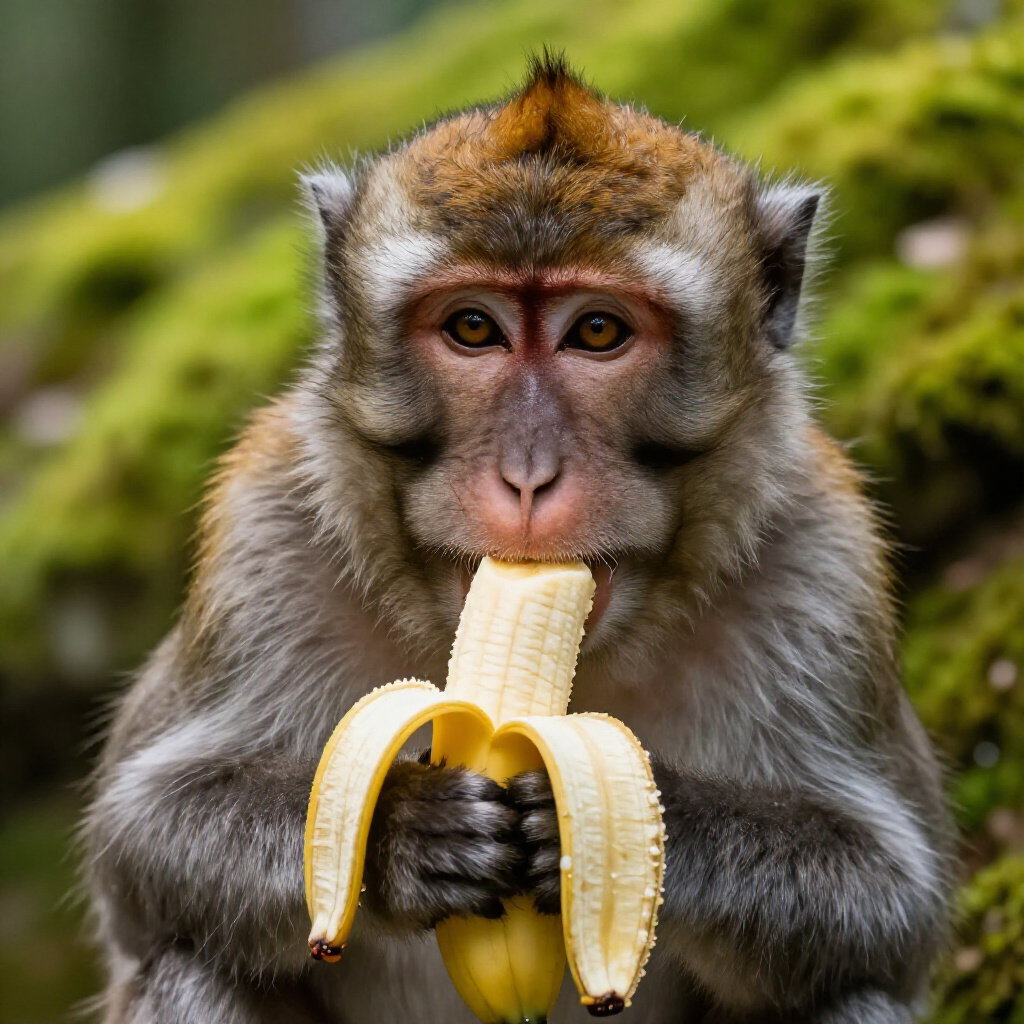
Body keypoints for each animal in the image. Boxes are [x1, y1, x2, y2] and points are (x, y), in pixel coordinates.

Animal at [83, 56, 954, 1024]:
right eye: (473, 328)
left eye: (598, 331)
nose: (529, 477)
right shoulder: (262, 528)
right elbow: (139, 840)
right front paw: (402, 829)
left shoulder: (825, 557)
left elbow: (893, 901)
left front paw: (612, 823)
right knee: (198, 964)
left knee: (849, 995)